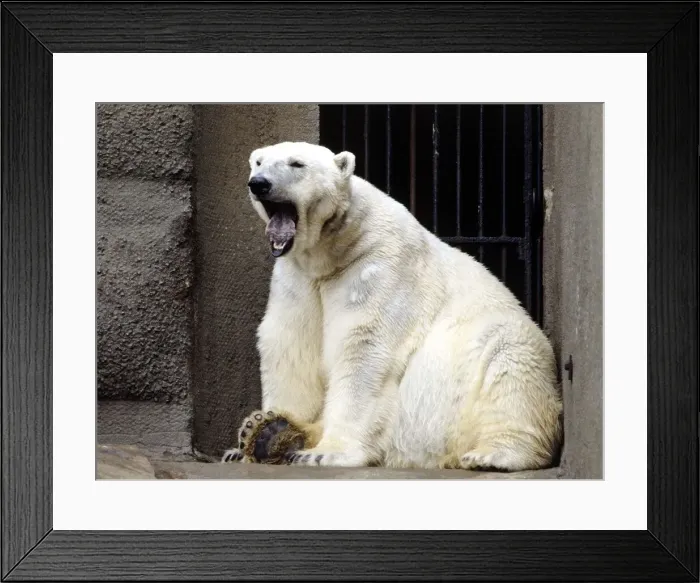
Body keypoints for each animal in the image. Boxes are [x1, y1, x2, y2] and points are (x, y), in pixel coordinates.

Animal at [221, 141, 562, 472]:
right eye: (259, 162)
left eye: (296, 163)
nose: (259, 183)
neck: (331, 251)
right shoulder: (298, 279)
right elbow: (291, 345)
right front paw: (257, 433)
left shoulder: (378, 267)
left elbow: (363, 347)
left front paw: (325, 454)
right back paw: (267, 433)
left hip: (497, 357)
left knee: (511, 369)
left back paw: (493, 454)